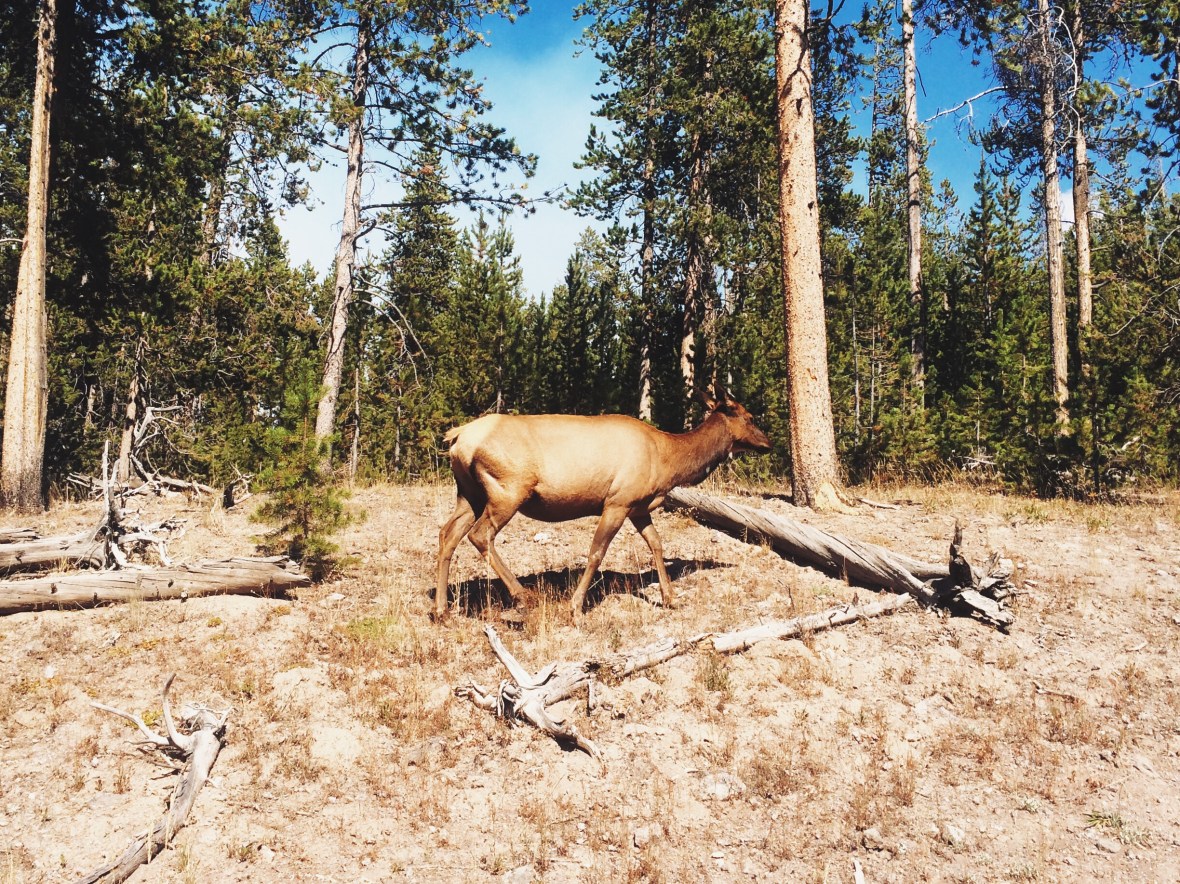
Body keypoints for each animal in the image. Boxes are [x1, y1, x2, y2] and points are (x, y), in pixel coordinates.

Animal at [434, 389, 772, 622]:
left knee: (447, 534)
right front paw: (576, 607)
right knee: (480, 535)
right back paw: (523, 595)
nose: (768, 443)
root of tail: (457, 437)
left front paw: (670, 597)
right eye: (750, 417)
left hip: (469, 493)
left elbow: (656, 544)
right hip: (507, 489)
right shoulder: (618, 501)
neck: (668, 461)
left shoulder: (639, 506)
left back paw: (441, 610)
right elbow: (597, 552)